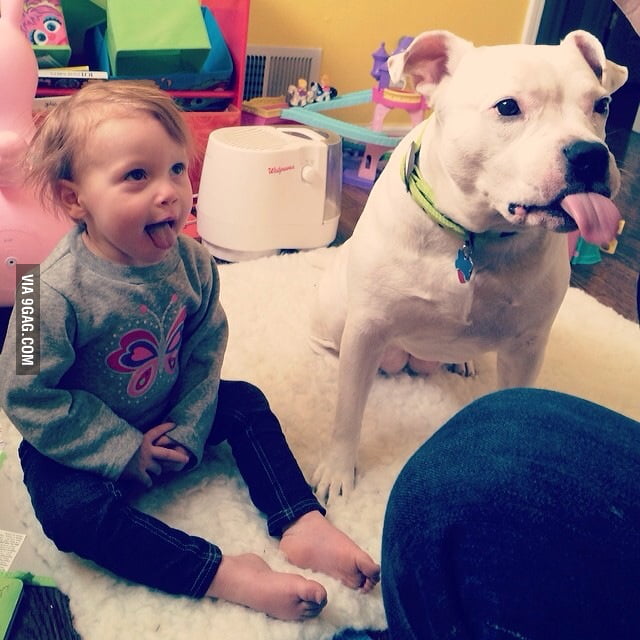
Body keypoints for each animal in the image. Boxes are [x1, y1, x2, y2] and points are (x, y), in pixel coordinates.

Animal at [310, 30, 624, 502]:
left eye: (601, 105)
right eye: (508, 107)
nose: (590, 154)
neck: (473, 236)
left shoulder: (527, 347)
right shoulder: (366, 329)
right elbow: (347, 411)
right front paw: (337, 472)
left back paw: (463, 362)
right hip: (337, 317)